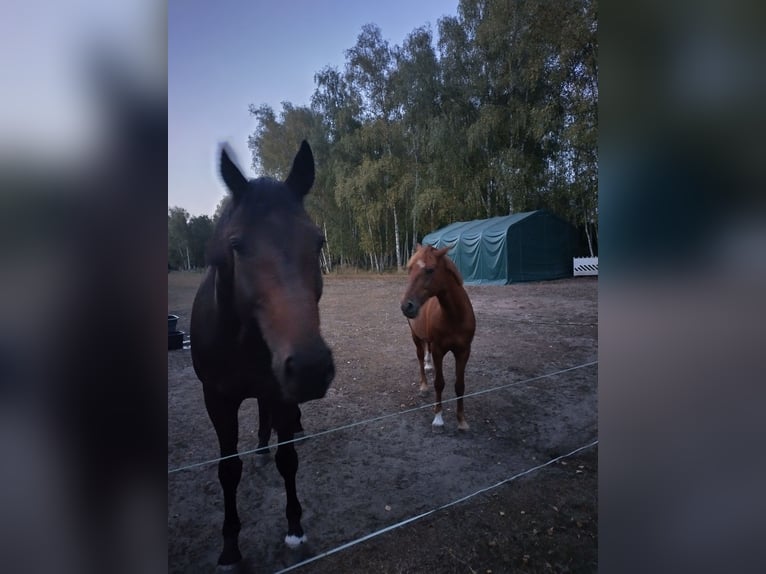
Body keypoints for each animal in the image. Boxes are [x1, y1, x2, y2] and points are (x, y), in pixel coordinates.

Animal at [190, 142, 334, 568]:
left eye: (317, 242)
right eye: (236, 245)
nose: (310, 369)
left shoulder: (279, 390)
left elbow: (288, 459)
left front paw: (295, 529)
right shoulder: (217, 399)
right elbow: (228, 469)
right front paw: (230, 548)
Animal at [400, 246, 476, 432]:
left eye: (430, 270)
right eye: (410, 269)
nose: (406, 306)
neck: (454, 317)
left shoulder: (464, 351)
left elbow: (460, 385)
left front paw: (462, 420)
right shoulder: (439, 350)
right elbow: (439, 383)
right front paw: (438, 418)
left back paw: (429, 365)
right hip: (415, 336)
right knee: (420, 357)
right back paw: (423, 385)